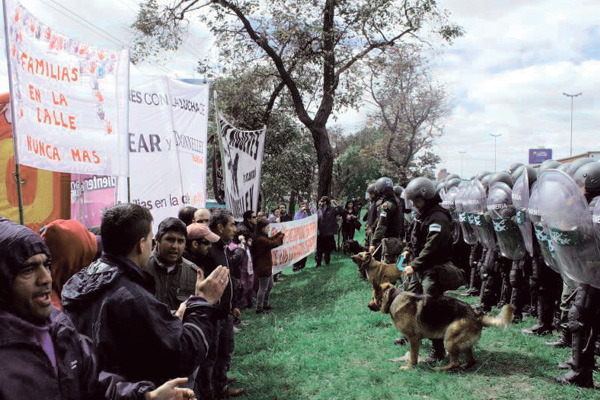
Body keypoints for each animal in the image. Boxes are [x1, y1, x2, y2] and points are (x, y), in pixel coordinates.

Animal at [372, 282, 512, 372]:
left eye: (373, 297)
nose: (368, 306)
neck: (394, 297)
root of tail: (477, 315)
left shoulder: (413, 339)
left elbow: (412, 356)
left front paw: (409, 367)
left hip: (450, 339)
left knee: (455, 362)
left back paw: (440, 369)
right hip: (462, 343)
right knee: (471, 360)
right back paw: (463, 367)